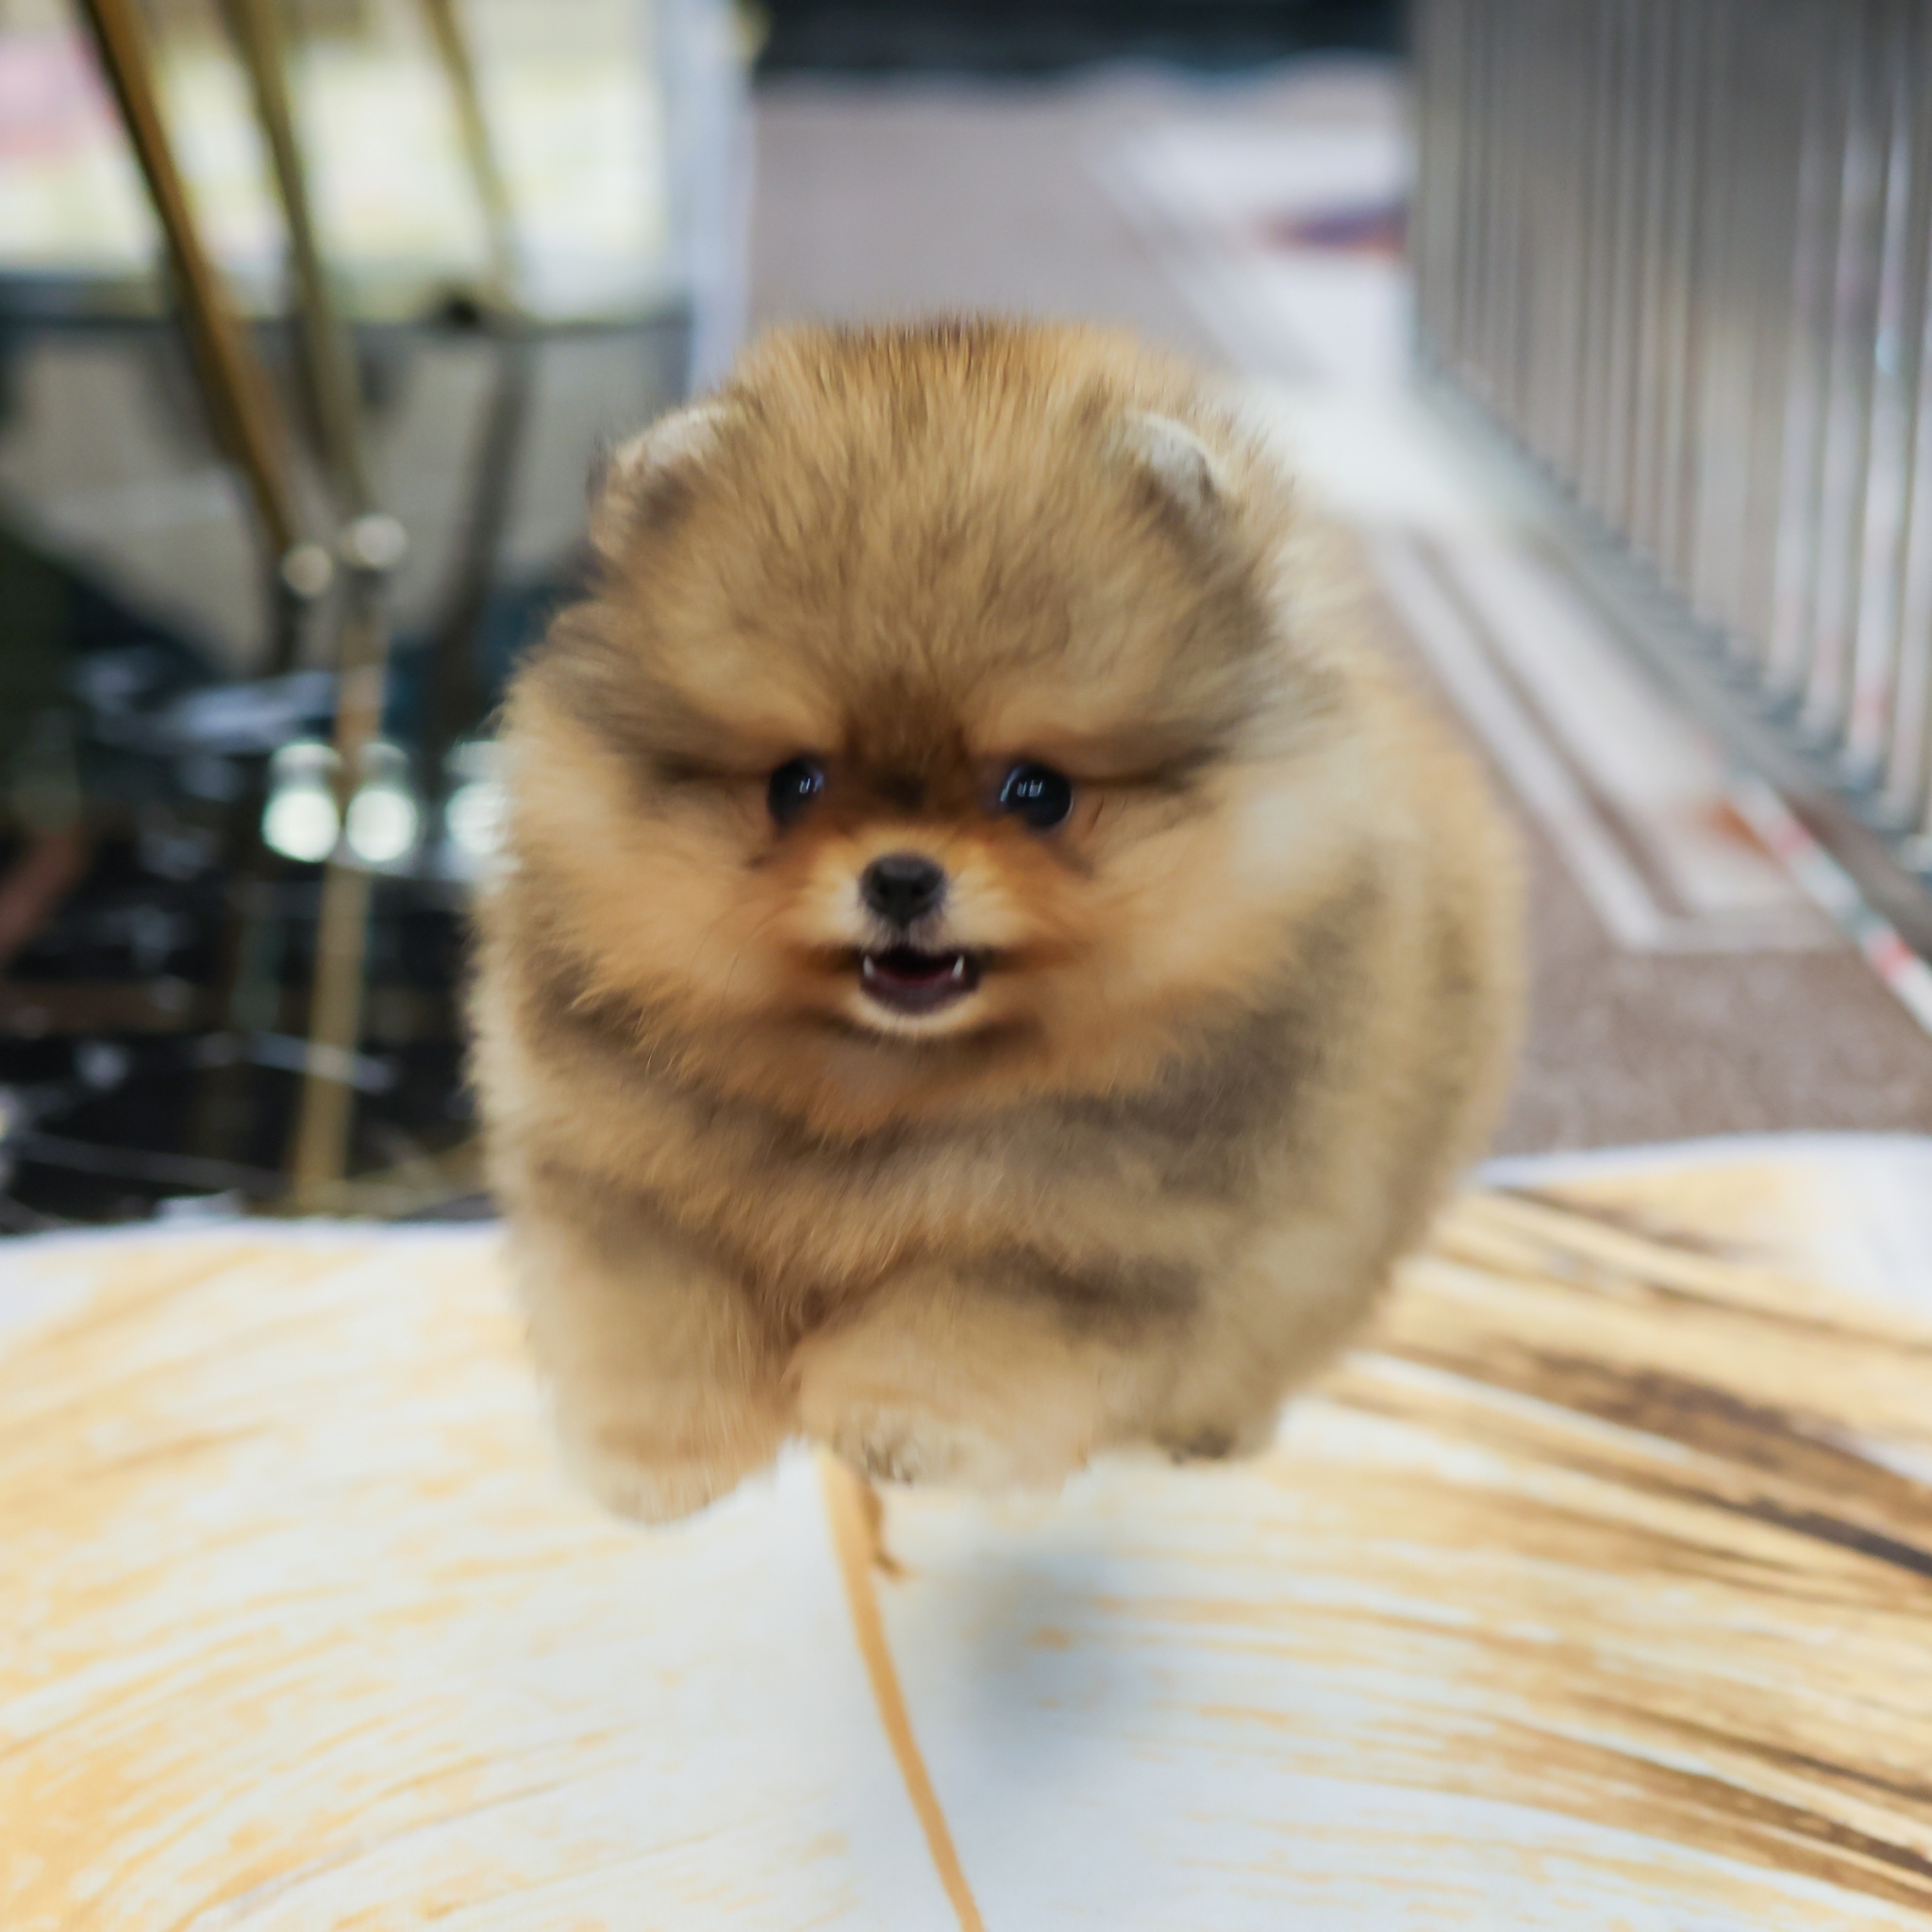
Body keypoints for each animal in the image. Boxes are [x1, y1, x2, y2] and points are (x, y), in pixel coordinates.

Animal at [470, 318, 1521, 1521]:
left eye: (1038, 790)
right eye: (793, 784)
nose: (901, 877)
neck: (883, 1084)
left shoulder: (1088, 1238)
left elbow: (963, 1332)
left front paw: (899, 1430)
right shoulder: (622, 1181)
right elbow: (657, 1322)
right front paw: (656, 1458)